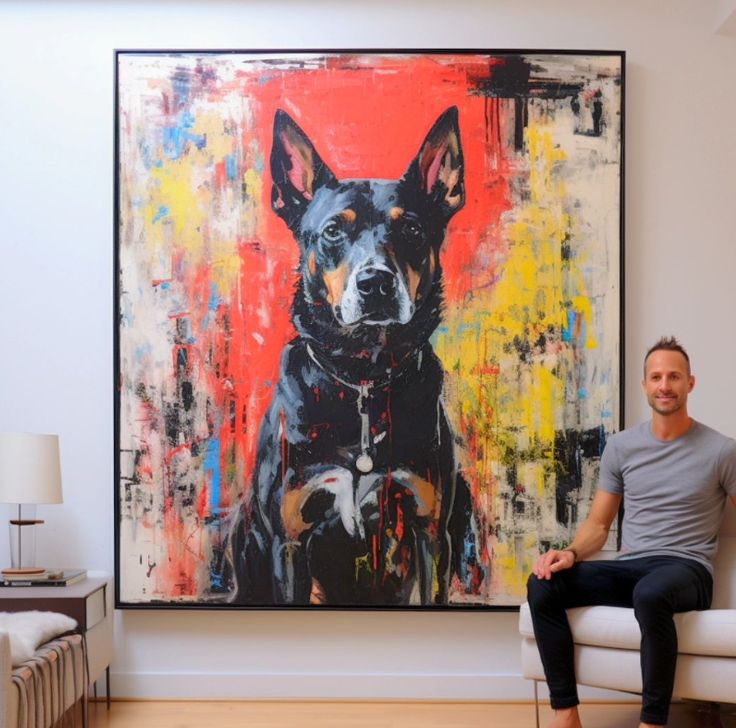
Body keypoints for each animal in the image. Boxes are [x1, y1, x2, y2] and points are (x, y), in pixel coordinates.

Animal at [233, 105, 480, 604]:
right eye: (333, 231)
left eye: (412, 229)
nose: (375, 283)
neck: (362, 376)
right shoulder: (289, 540)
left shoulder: (430, 530)